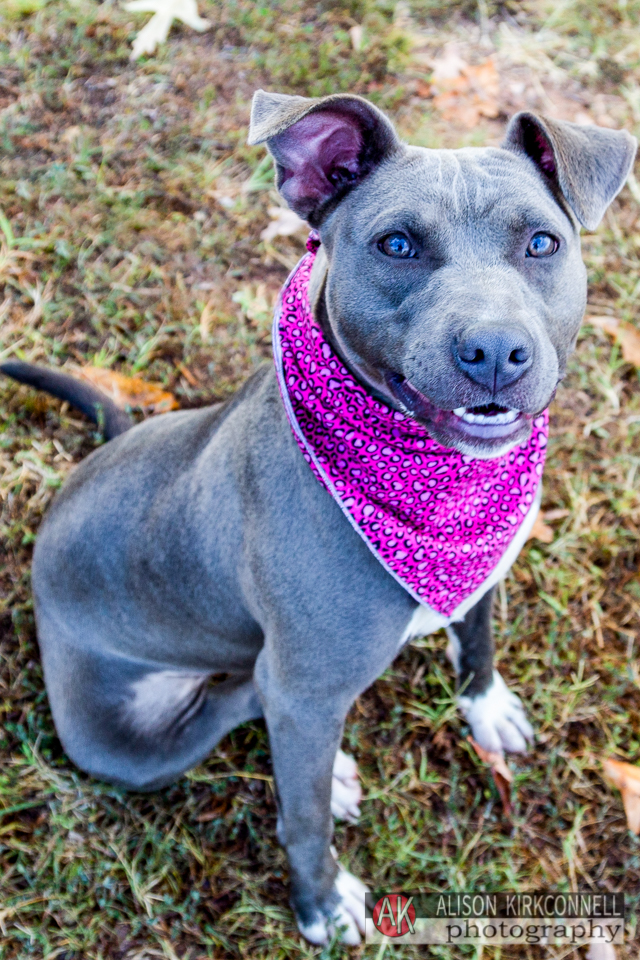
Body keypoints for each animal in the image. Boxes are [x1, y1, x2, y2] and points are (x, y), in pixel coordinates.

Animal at [2, 90, 636, 944]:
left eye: (542, 242)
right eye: (396, 244)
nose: (497, 351)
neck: (440, 487)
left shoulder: (482, 569)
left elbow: (478, 634)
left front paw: (484, 703)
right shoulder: (305, 693)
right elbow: (301, 819)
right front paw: (321, 902)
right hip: (124, 744)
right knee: (240, 699)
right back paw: (320, 765)